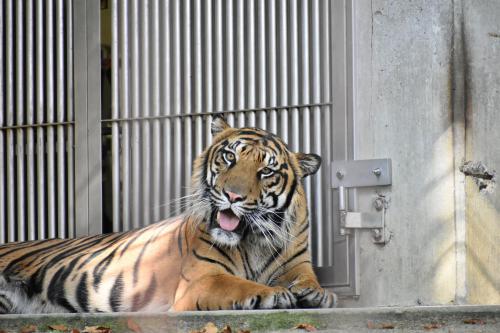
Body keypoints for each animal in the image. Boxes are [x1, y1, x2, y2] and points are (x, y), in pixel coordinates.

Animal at [0, 115, 338, 312]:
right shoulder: (201, 280)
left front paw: (319, 295)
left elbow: (310, 281)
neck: (253, 240)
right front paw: (274, 294)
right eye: (230, 157)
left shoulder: (298, 265)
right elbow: (238, 284)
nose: (232, 196)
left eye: (266, 171)